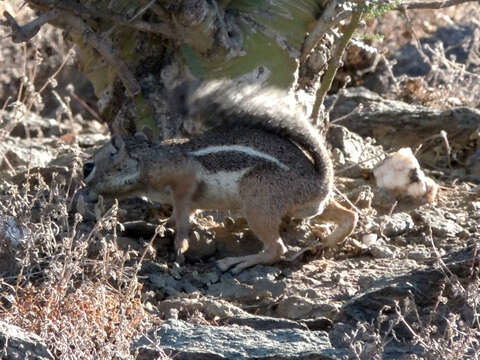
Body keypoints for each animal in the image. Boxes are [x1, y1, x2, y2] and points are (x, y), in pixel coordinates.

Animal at [80, 81, 356, 272]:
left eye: (88, 167)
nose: (85, 193)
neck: (148, 159)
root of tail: (321, 179)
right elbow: (180, 212)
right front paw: (162, 225)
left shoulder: (184, 177)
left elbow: (182, 209)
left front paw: (180, 242)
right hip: (308, 207)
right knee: (349, 216)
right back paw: (323, 243)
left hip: (257, 200)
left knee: (277, 249)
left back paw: (237, 262)